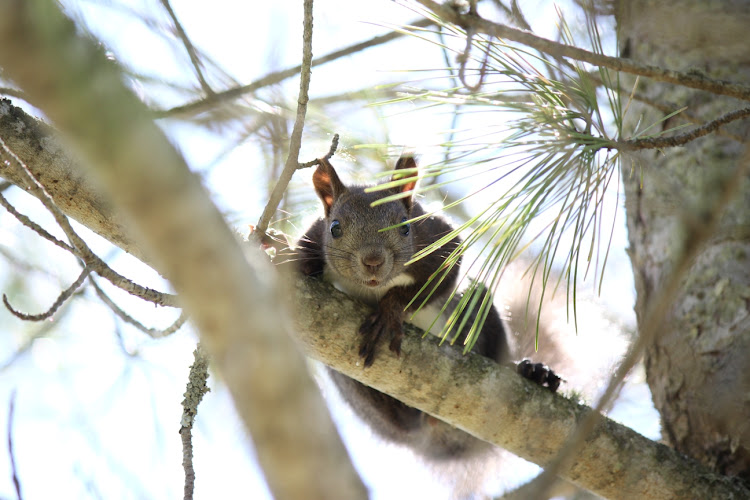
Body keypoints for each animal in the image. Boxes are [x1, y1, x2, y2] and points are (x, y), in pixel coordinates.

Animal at [290, 154, 560, 462]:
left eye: (405, 226)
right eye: (335, 228)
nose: (373, 261)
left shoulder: (436, 237)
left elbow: (440, 276)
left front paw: (390, 310)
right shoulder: (314, 235)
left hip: (477, 309)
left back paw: (532, 372)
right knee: (403, 421)